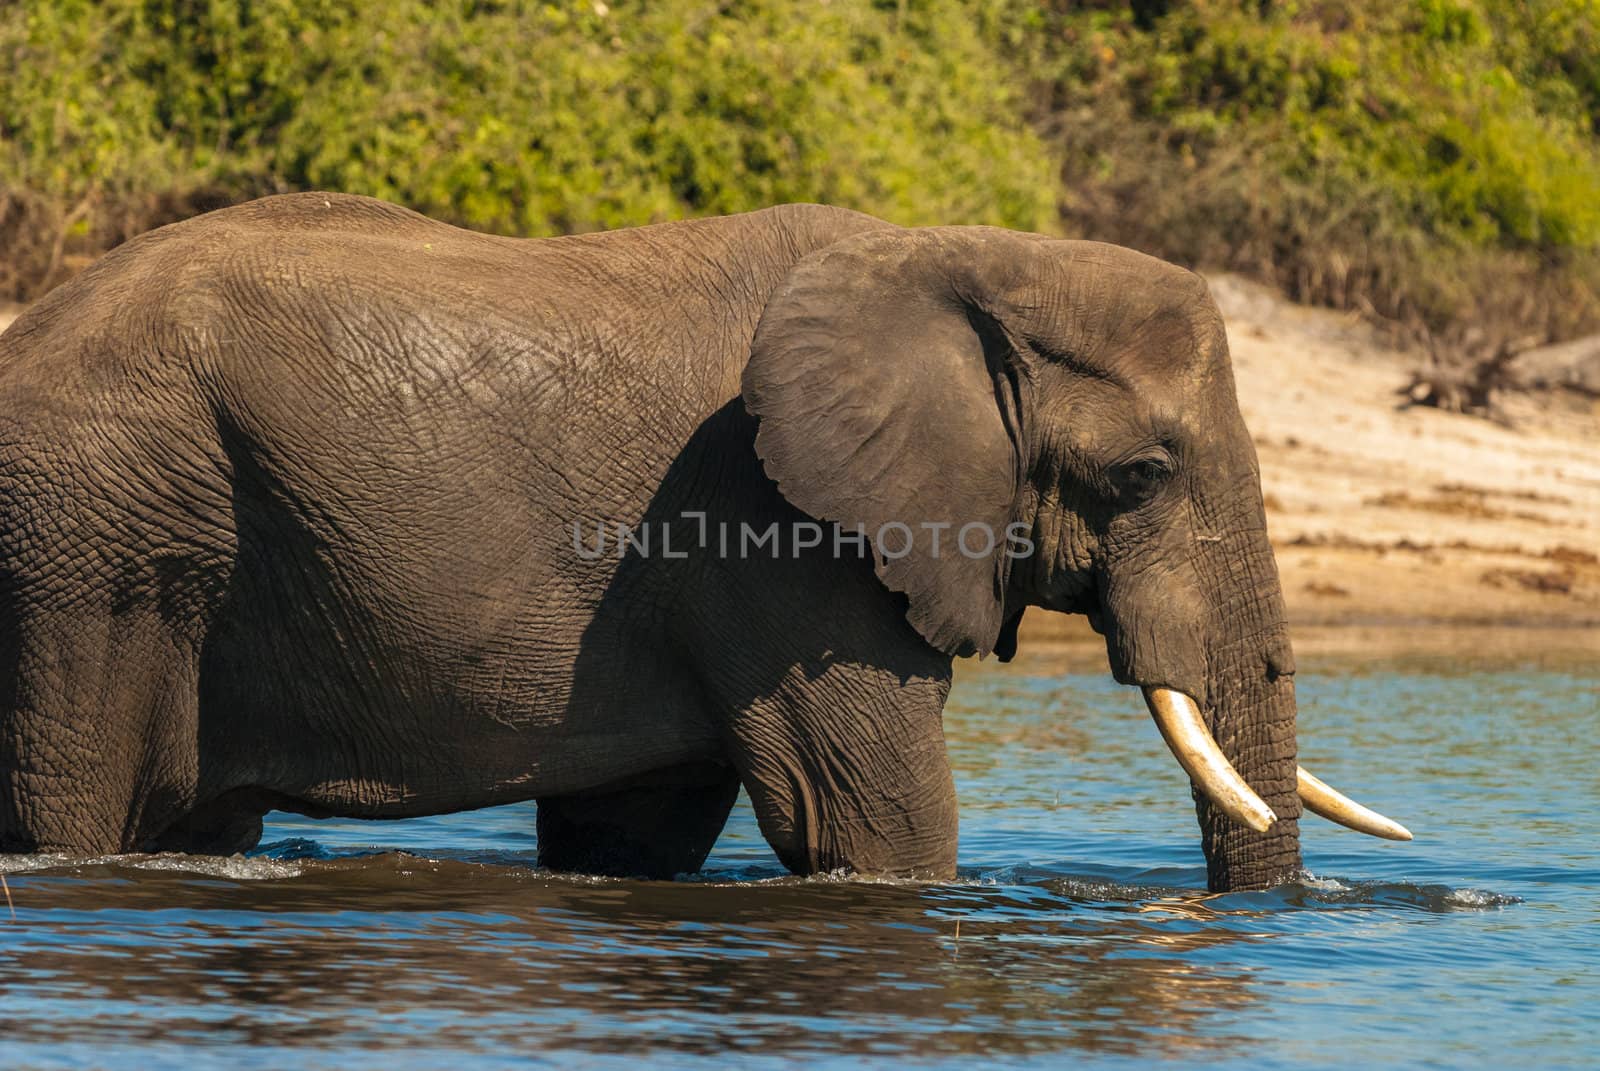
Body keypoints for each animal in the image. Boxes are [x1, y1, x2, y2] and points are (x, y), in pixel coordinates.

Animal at [0, 194, 1401, 896]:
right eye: (1144, 475)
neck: (961, 258)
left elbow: (635, 834)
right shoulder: (776, 532)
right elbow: (870, 818)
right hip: (96, 543)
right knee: (77, 803)